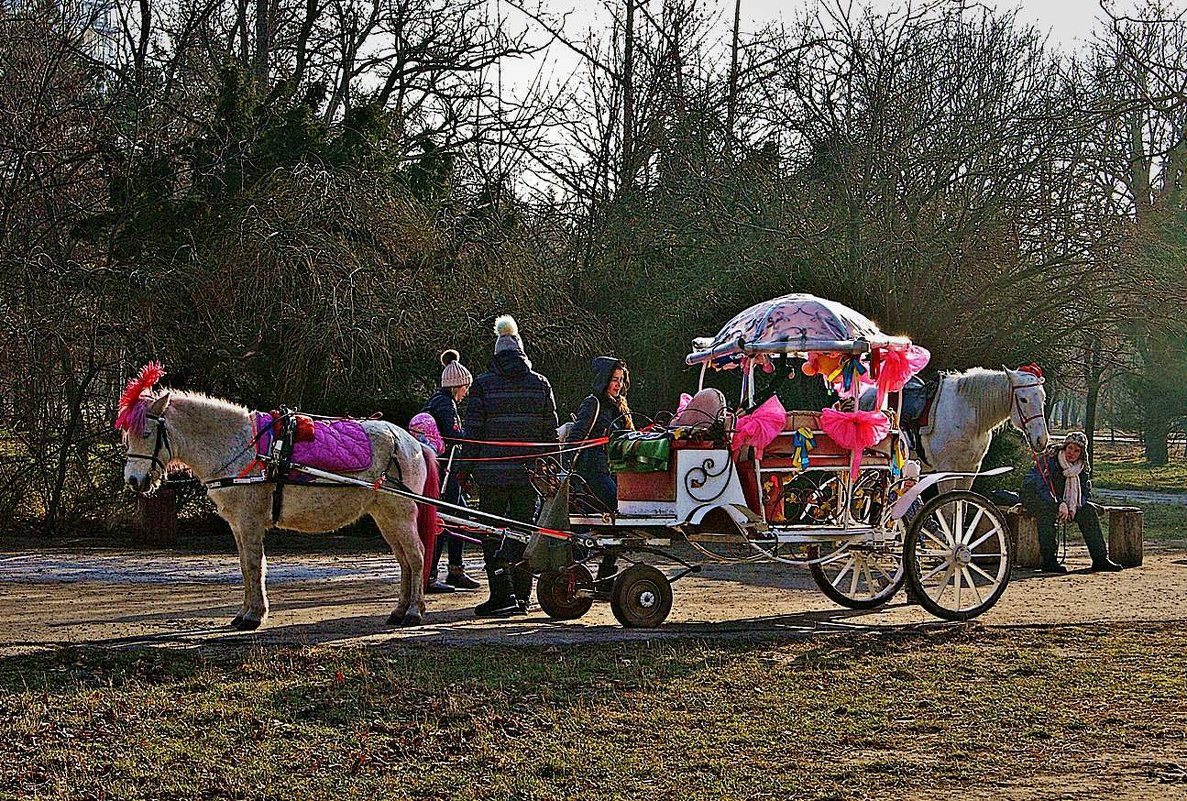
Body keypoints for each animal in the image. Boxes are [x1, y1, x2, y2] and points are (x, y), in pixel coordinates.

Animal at [120, 391, 434, 631]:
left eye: (146, 433)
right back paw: (399, 610)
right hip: (386, 517)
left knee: (416, 557)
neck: (243, 448)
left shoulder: (249, 522)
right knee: (404, 561)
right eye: (127, 437)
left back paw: (413, 612)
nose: (134, 480)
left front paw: (253, 616)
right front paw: (244, 613)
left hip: (401, 515)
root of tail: (413, 442)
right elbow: (245, 567)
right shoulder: (237, 524)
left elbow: (254, 566)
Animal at [916, 365, 1049, 481]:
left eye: (1043, 399)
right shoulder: (946, 469)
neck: (961, 412)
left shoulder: (971, 469)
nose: (1041, 440)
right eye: (1023, 399)